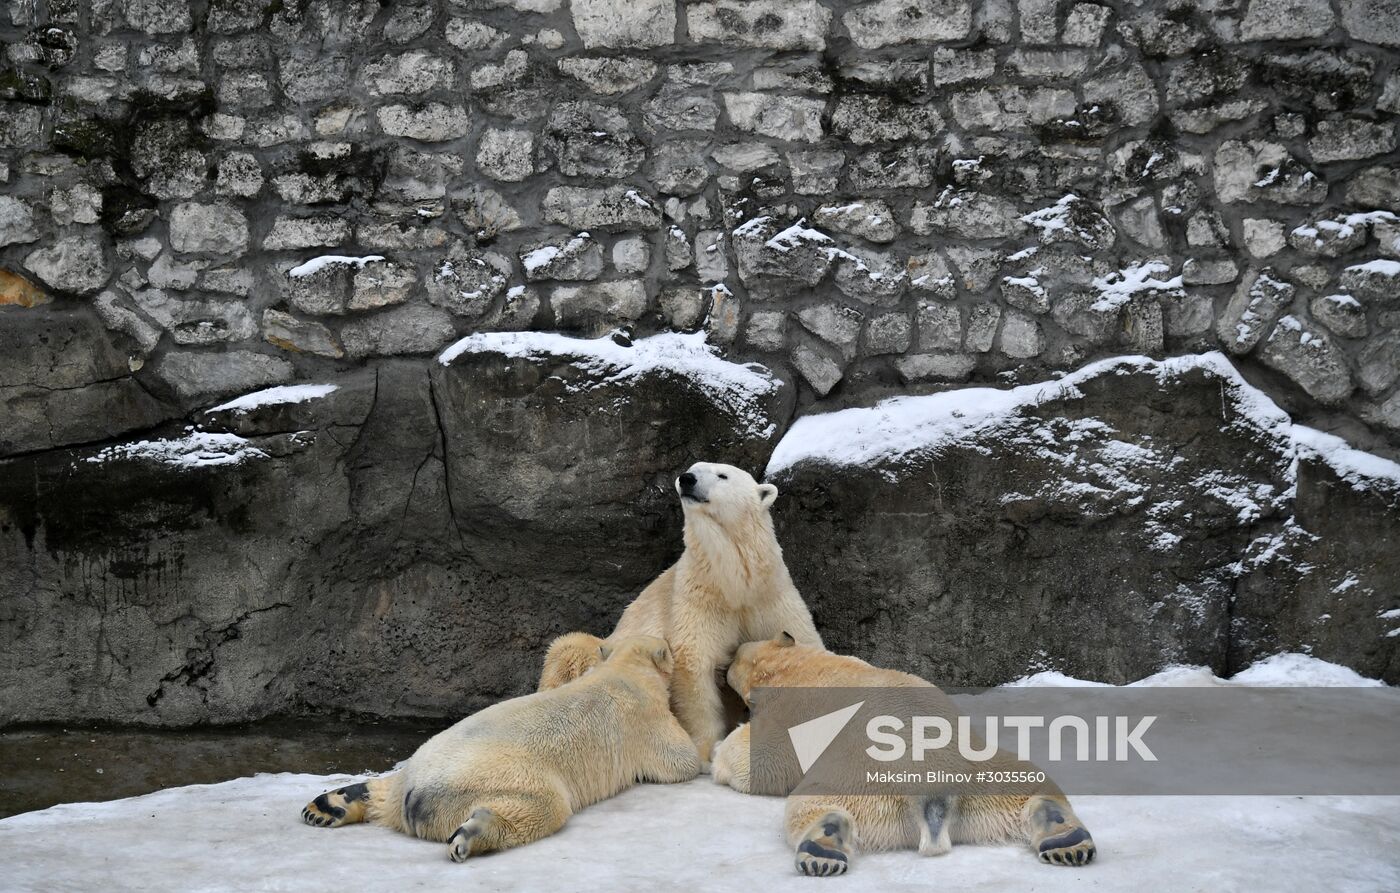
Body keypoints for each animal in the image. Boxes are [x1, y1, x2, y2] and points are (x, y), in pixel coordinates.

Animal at [303, 638, 700, 862]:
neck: (624, 671)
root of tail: (415, 793)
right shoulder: (644, 718)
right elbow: (679, 761)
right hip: (500, 777)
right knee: (542, 806)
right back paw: (471, 836)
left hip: (417, 763)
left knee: (383, 787)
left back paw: (327, 806)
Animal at [534, 461, 817, 761]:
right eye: (694, 467)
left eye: (723, 475)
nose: (687, 479)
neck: (733, 585)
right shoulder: (697, 598)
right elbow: (694, 665)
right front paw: (707, 749)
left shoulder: (770, 597)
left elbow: (803, 638)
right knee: (569, 647)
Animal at [711, 638, 1092, 884]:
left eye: (732, 661)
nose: (724, 663)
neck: (801, 668)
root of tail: (933, 795)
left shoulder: (791, 716)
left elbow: (761, 759)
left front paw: (717, 754)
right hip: (986, 776)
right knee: (1034, 783)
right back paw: (1066, 839)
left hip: (861, 780)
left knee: (816, 802)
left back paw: (822, 848)